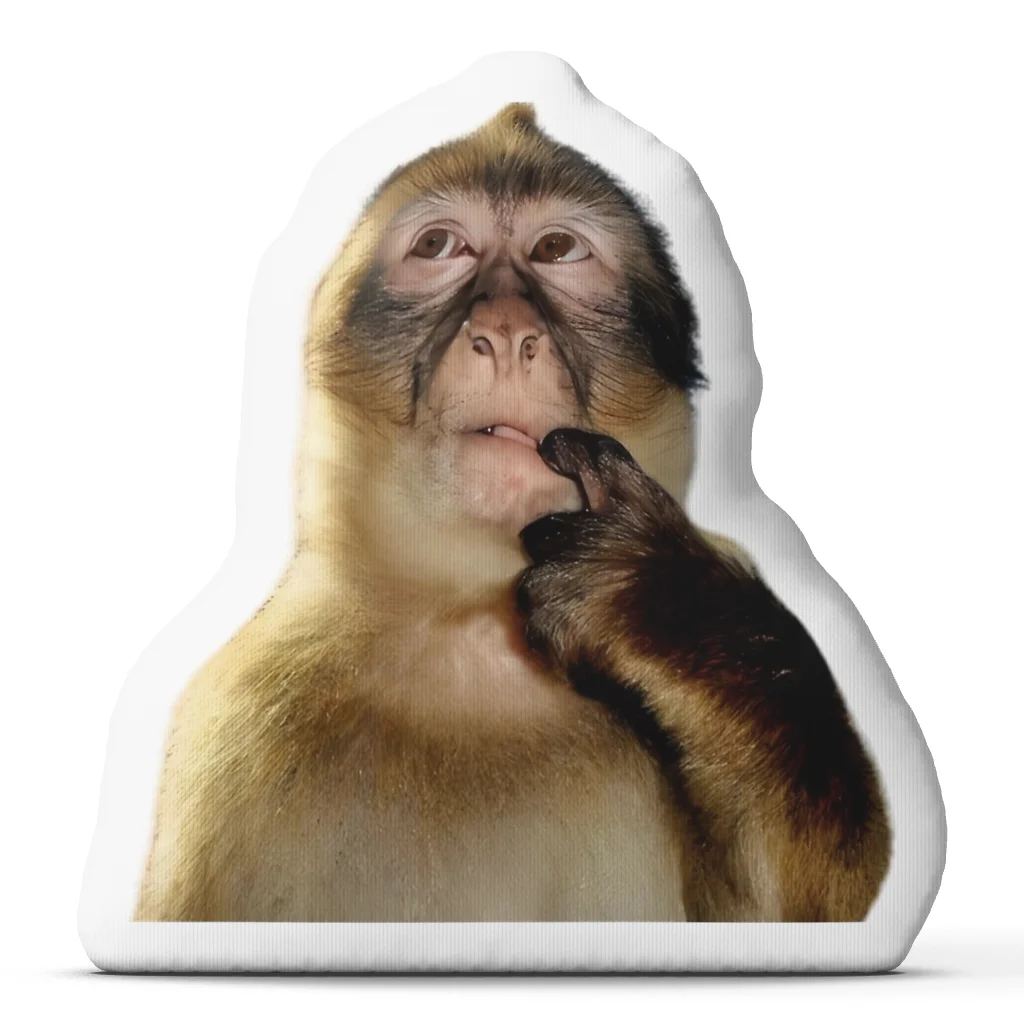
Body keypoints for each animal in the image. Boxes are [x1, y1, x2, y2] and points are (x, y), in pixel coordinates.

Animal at [135, 104, 890, 923]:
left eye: (556, 249)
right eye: (439, 246)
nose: (502, 333)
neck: (471, 633)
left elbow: (805, 909)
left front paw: (651, 596)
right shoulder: (233, 738)